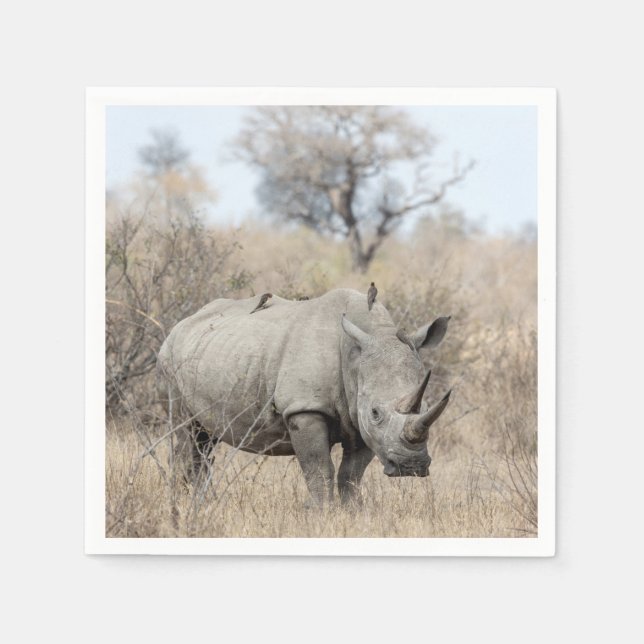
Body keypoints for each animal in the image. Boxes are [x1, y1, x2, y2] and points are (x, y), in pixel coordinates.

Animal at [157, 288, 452, 505]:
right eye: (376, 413)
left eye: (426, 405)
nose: (410, 466)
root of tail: (182, 323)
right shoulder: (305, 408)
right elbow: (319, 470)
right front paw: (324, 515)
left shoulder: (359, 419)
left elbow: (351, 475)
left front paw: (353, 514)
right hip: (170, 361)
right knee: (187, 433)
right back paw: (183, 506)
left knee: (205, 441)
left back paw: (200, 505)